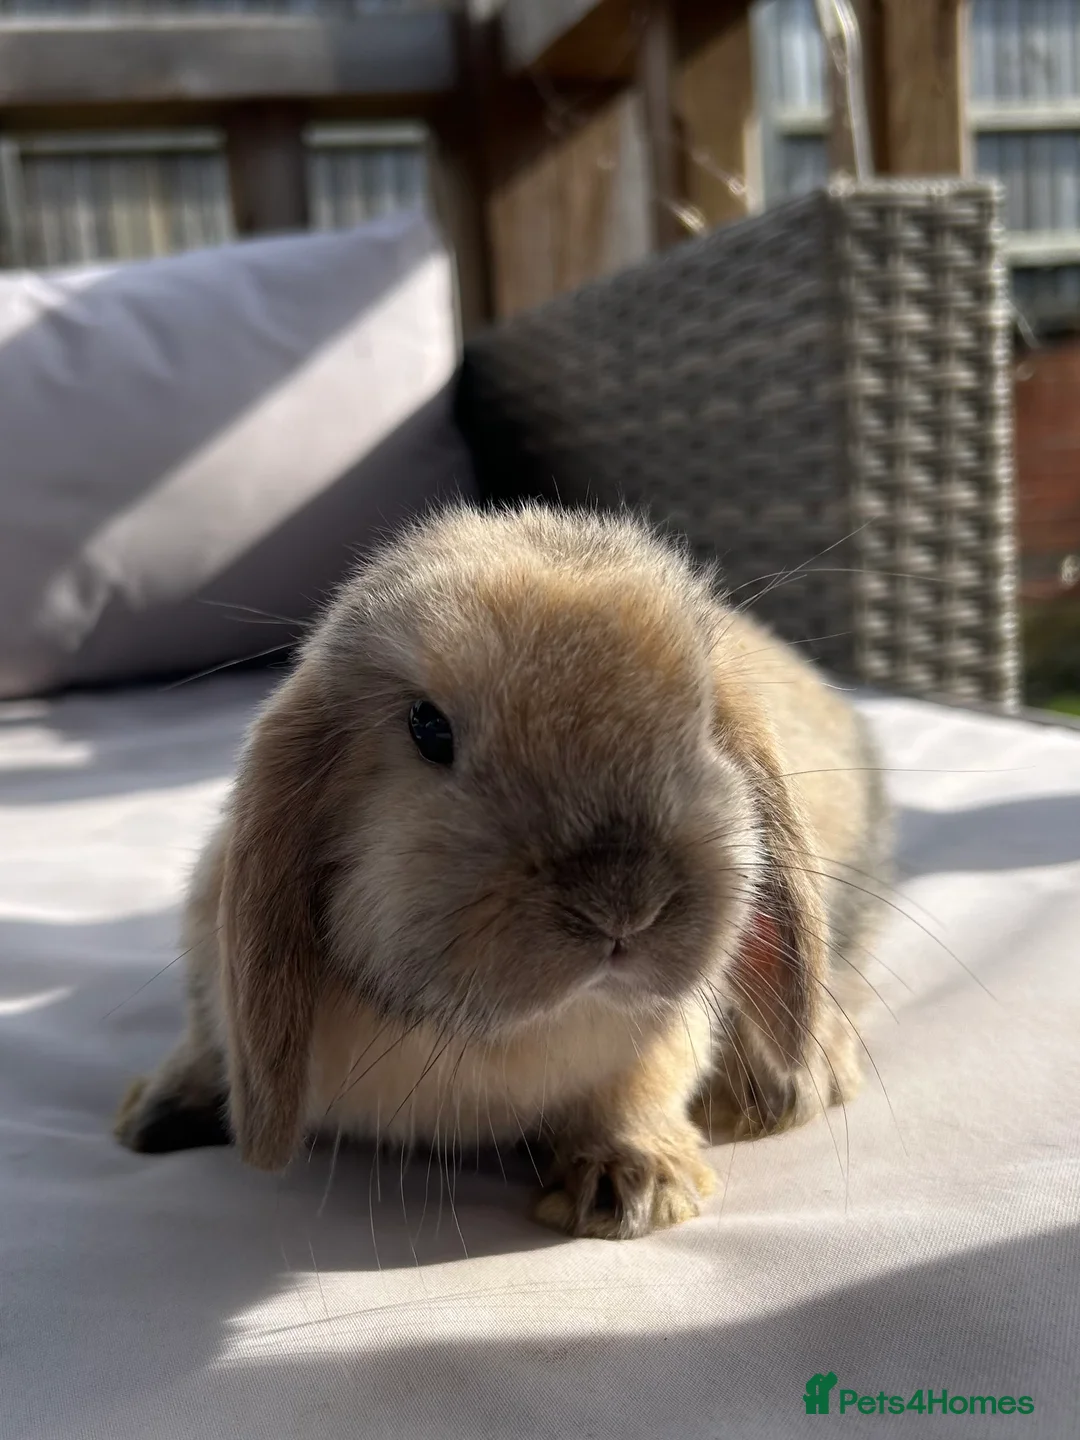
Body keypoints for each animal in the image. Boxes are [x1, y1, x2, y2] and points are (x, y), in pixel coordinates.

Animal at [115, 502, 890, 1240]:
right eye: (428, 728)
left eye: (701, 721)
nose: (622, 903)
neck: (484, 1038)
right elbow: (204, 1040)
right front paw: (154, 1113)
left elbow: (639, 1089)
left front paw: (632, 1186)